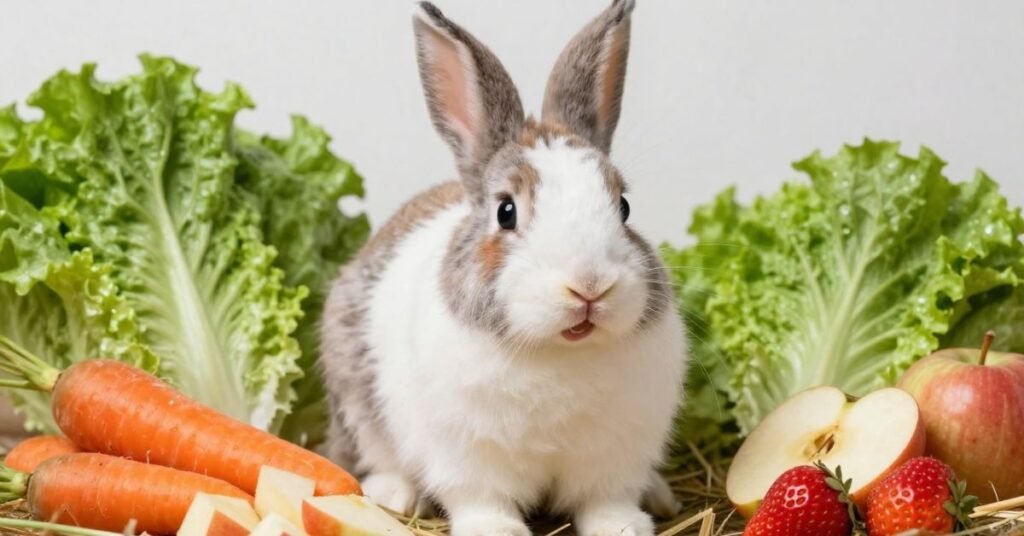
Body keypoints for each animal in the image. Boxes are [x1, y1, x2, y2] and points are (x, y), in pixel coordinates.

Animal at [320, 1, 687, 534]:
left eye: (623, 207)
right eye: (506, 211)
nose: (589, 286)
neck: (558, 353)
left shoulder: (615, 456)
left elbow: (606, 497)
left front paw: (623, 526)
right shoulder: (467, 456)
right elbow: (481, 497)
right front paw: (495, 529)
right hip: (355, 401)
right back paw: (395, 493)